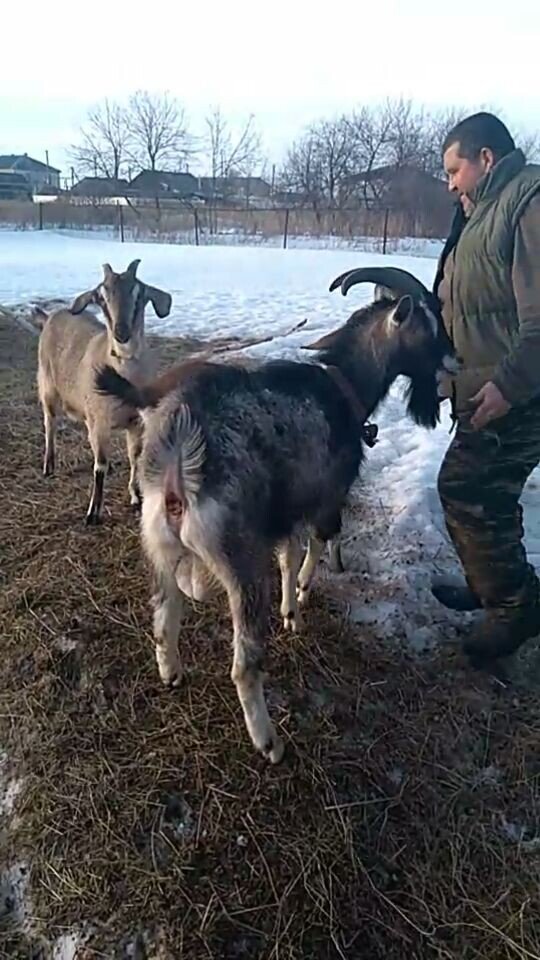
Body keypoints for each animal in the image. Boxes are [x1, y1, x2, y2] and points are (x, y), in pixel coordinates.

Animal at [36, 256, 171, 524]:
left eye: (139, 294)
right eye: (101, 297)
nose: (121, 332)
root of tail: (51, 316)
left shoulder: (136, 422)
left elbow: (135, 457)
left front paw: (136, 496)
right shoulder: (100, 422)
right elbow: (101, 465)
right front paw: (93, 512)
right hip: (47, 386)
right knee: (50, 422)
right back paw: (49, 465)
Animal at [96, 266, 456, 760]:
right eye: (429, 329)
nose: (453, 363)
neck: (345, 383)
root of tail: (181, 448)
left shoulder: (286, 512)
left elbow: (289, 553)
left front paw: (289, 610)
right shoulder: (327, 497)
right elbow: (315, 546)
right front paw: (301, 600)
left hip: (158, 544)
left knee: (163, 620)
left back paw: (172, 673)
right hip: (241, 562)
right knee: (244, 664)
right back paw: (269, 742)